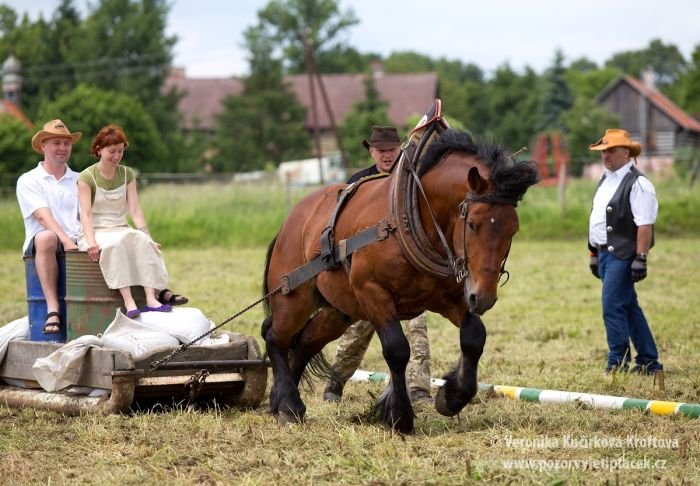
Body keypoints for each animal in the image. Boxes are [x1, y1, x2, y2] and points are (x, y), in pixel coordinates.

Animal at [260, 130, 540, 432]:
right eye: (473, 224)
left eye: (513, 229)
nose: (484, 296)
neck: (409, 217)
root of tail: (290, 221)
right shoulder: (373, 292)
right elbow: (397, 350)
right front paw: (400, 416)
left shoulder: (452, 297)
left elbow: (474, 337)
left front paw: (452, 397)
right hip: (294, 298)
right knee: (276, 337)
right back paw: (289, 405)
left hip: (339, 310)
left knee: (303, 344)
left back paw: (281, 402)